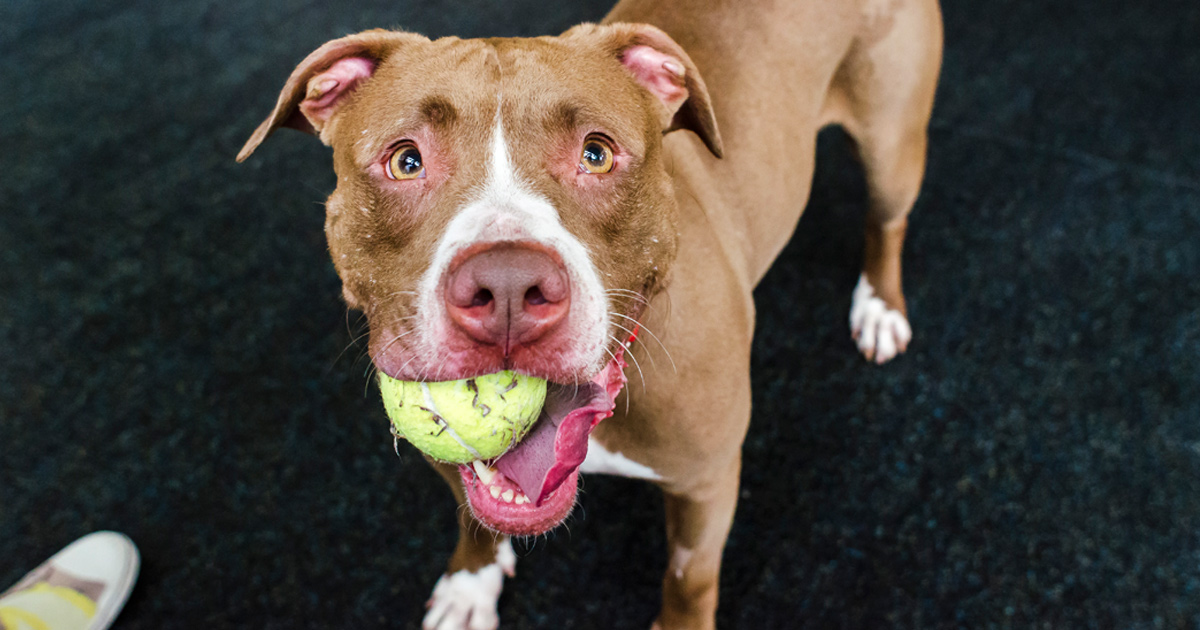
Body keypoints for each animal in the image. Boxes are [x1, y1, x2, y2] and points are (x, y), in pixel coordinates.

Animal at [238, 0, 940, 624]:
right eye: (405, 160)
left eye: (596, 153)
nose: (508, 287)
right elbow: (474, 514)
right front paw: (471, 584)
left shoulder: (707, 479)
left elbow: (688, 580)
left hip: (892, 142)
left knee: (888, 220)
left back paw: (880, 306)